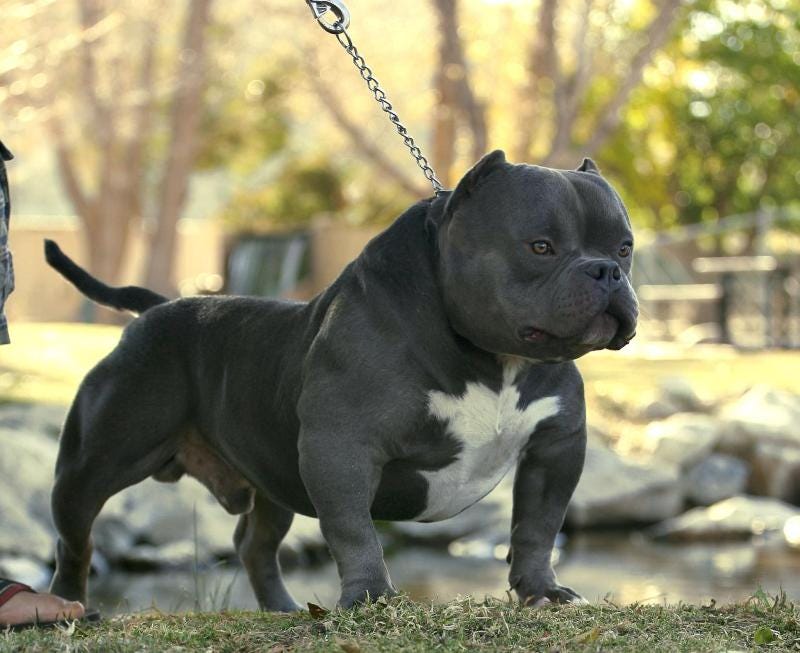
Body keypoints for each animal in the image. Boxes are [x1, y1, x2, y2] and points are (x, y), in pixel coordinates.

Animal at [45, 150, 636, 608]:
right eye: (540, 246)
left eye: (625, 247)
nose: (607, 270)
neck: (494, 362)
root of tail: (156, 309)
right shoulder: (342, 446)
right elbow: (353, 530)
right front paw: (370, 596)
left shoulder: (556, 448)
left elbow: (538, 526)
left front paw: (542, 591)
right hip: (92, 465)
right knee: (76, 539)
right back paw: (69, 606)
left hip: (273, 476)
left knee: (254, 543)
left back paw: (282, 610)